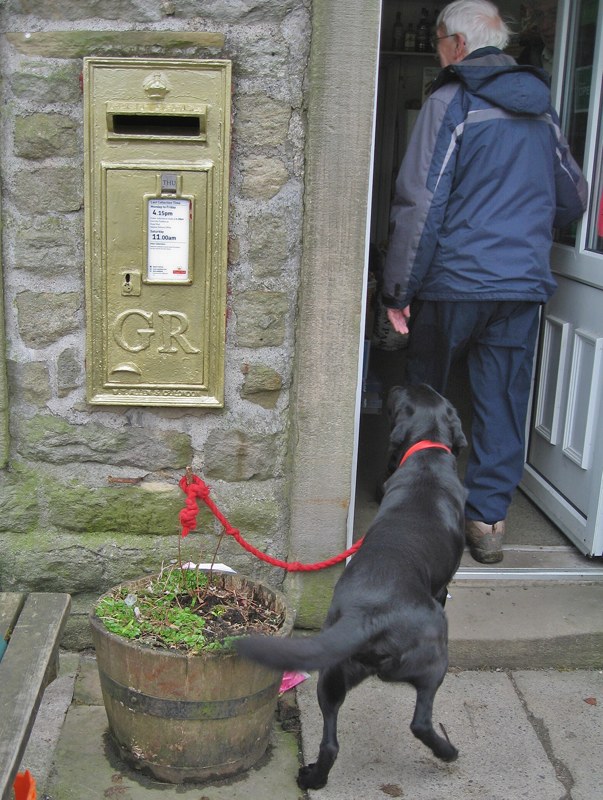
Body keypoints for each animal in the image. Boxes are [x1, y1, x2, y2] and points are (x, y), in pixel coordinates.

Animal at [236, 384, 468, 792]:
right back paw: (447, 752)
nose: (393, 386)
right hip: (433, 659)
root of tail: (369, 617)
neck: (427, 454)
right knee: (420, 722)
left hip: (331, 676)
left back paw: (313, 777)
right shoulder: (442, 587)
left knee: (330, 743)